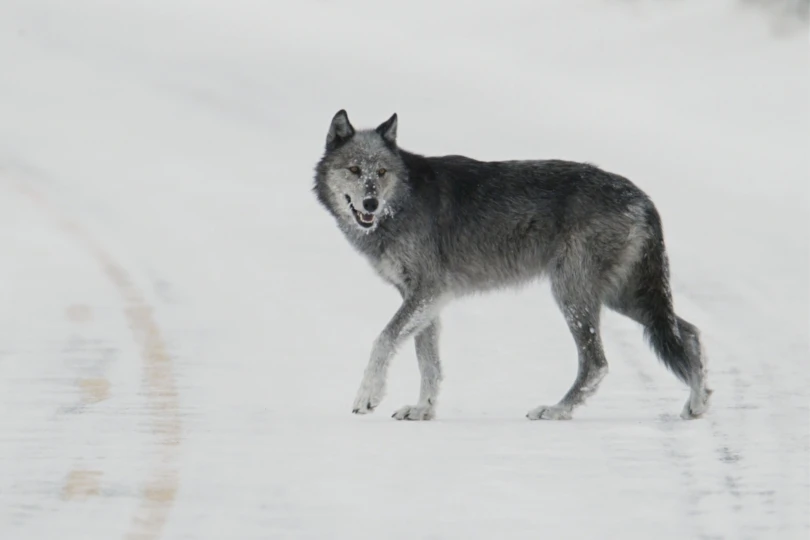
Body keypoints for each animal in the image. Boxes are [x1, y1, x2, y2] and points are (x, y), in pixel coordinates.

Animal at [313, 110, 712, 421]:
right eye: (354, 169)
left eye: (380, 172)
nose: (370, 203)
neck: (403, 200)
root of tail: (642, 197)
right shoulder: (424, 298)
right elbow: (428, 361)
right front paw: (423, 409)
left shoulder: (427, 291)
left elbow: (383, 340)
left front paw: (368, 396)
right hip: (623, 298)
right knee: (690, 332)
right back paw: (697, 404)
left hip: (575, 295)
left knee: (597, 363)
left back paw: (556, 410)